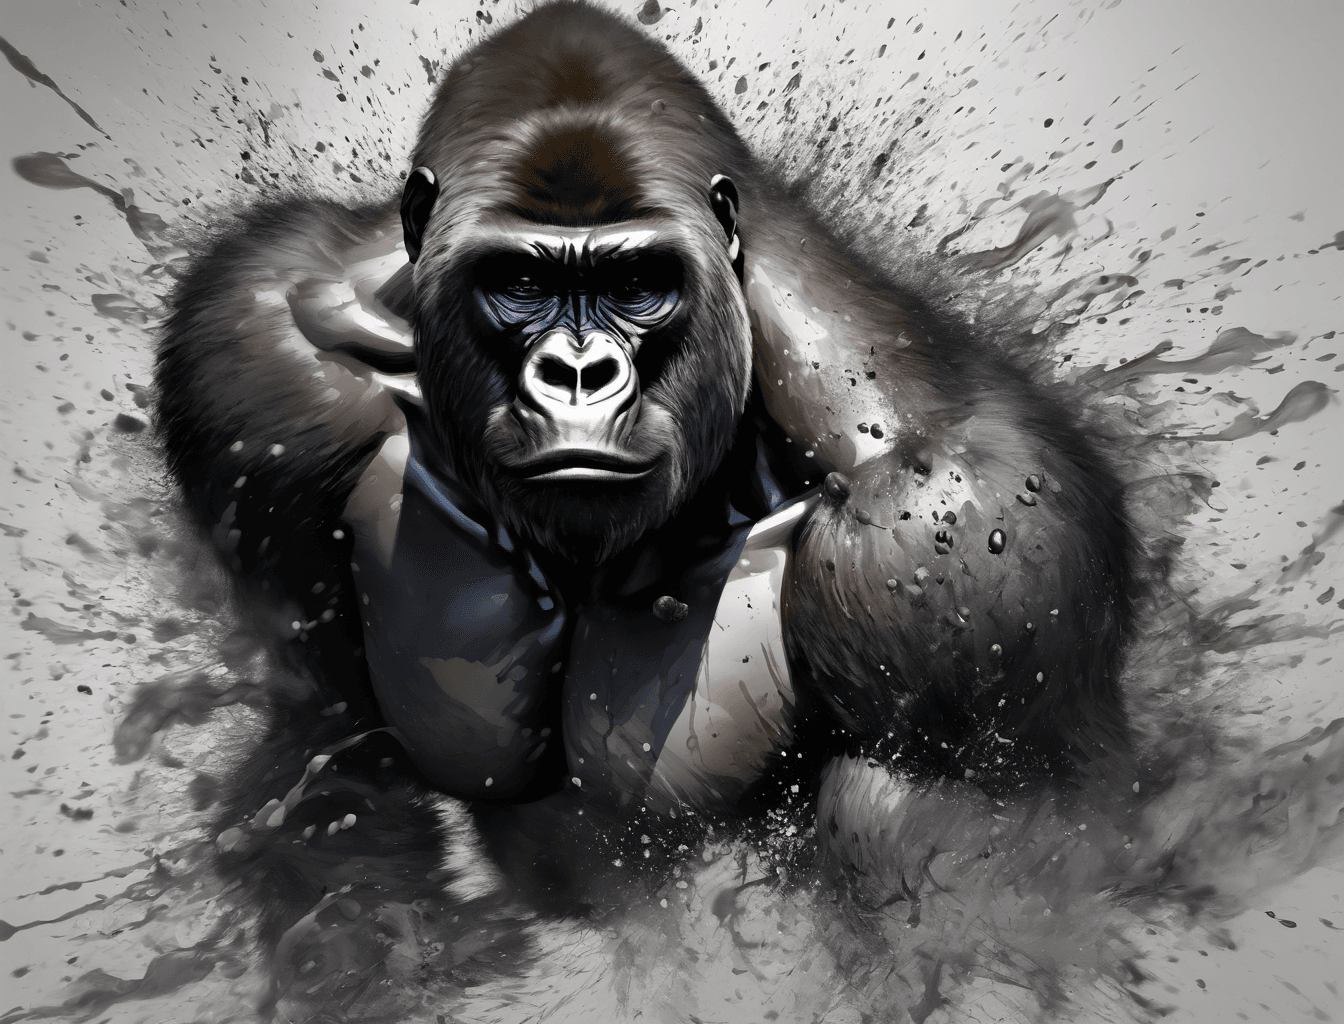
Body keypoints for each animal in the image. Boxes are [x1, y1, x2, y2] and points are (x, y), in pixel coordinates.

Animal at [155, 0, 1134, 932]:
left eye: (635, 285)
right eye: (520, 282)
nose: (579, 375)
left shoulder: (955, 541)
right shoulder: (259, 358)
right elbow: (331, 742)